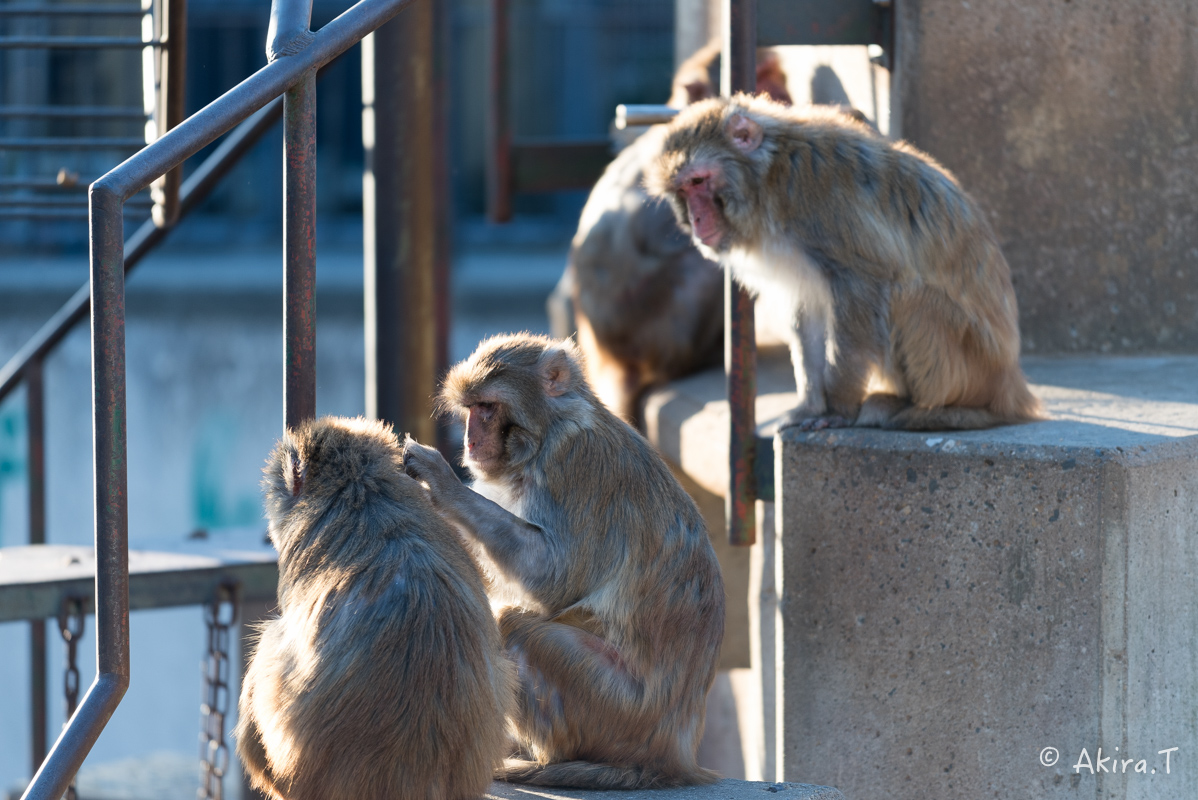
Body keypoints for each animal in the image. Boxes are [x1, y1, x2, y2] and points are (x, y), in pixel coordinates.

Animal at [402, 335, 723, 790]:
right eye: (469, 410)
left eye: (487, 407)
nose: (469, 442)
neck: (548, 431)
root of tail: (675, 753)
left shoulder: (574, 464)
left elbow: (553, 578)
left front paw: (442, 484)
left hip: (611, 708)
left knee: (514, 625)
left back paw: (552, 759)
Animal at [555, 39, 790, 421]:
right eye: (760, 78)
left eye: (774, 76)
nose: (780, 96)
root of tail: (612, 358)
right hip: (663, 338)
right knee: (704, 268)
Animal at [646, 94, 1049, 431]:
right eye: (682, 191)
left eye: (699, 181)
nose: (696, 220)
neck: (768, 180)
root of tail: (1010, 381)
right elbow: (806, 307)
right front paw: (810, 406)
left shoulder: (819, 198)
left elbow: (862, 283)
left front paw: (838, 408)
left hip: (973, 363)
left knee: (908, 295)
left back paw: (941, 411)